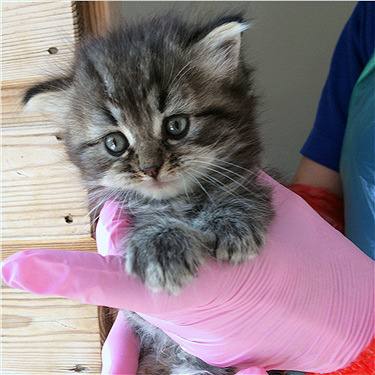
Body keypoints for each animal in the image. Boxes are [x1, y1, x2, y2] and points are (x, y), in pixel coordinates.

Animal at [25, 13, 274, 375]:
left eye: (176, 126)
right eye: (114, 143)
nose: (151, 168)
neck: (178, 201)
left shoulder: (248, 173)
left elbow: (239, 191)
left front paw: (231, 222)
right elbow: (147, 221)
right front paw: (162, 245)